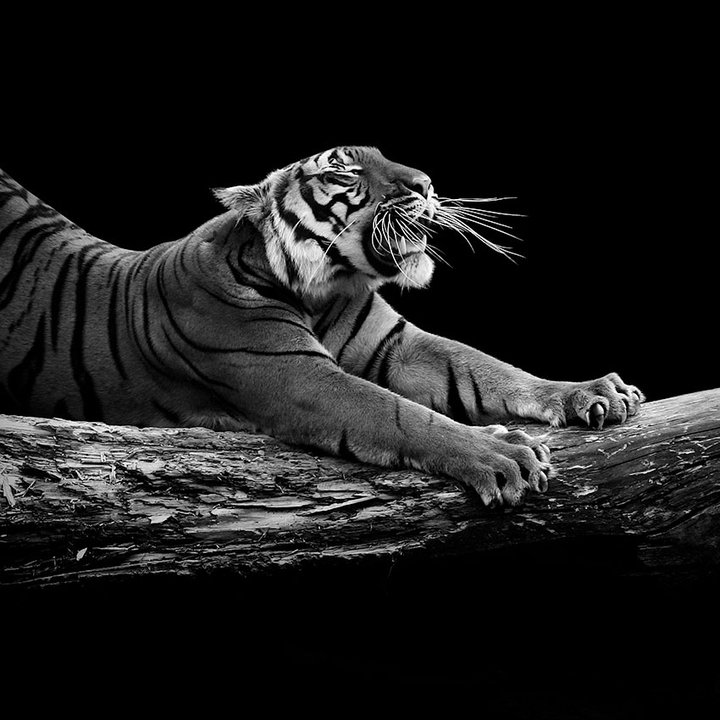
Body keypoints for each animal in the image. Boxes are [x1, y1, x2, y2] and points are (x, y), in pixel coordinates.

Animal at [0, 146, 643, 507]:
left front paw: (592, 392)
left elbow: (489, 367)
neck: (323, 287)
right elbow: (402, 414)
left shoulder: (399, 346)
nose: (427, 185)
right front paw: (500, 451)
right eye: (348, 171)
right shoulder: (297, 376)